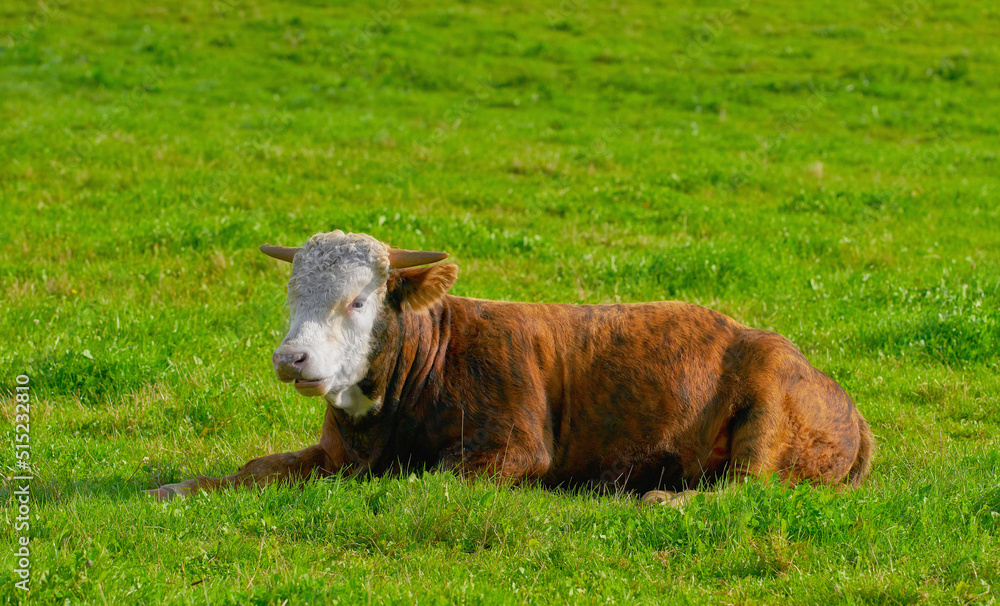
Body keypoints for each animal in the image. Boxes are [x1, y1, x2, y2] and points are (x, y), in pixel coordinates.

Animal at [148, 230, 876, 506]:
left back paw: (663, 497)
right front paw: (175, 488)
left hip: (767, 405)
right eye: (291, 295)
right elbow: (254, 469)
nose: (290, 358)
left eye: (358, 300)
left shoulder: (515, 449)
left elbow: (426, 478)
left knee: (746, 485)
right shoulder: (337, 451)